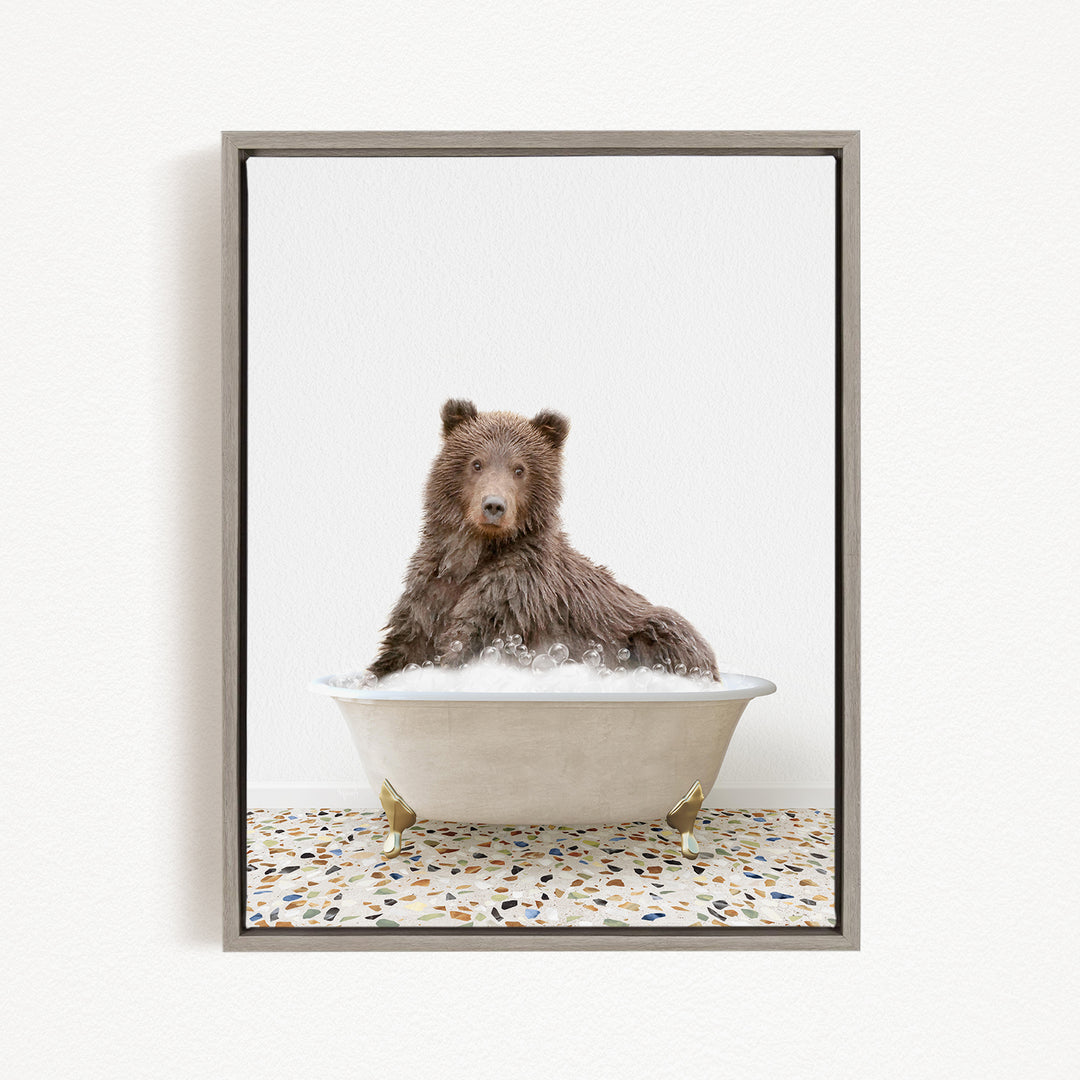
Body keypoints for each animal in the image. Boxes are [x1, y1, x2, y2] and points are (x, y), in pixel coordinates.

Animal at [368, 398, 719, 680]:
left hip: (652, 631)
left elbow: (469, 641)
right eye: (476, 463)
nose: (493, 505)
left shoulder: (515, 596)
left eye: (520, 469)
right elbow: (403, 647)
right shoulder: (430, 591)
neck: (474, 554)